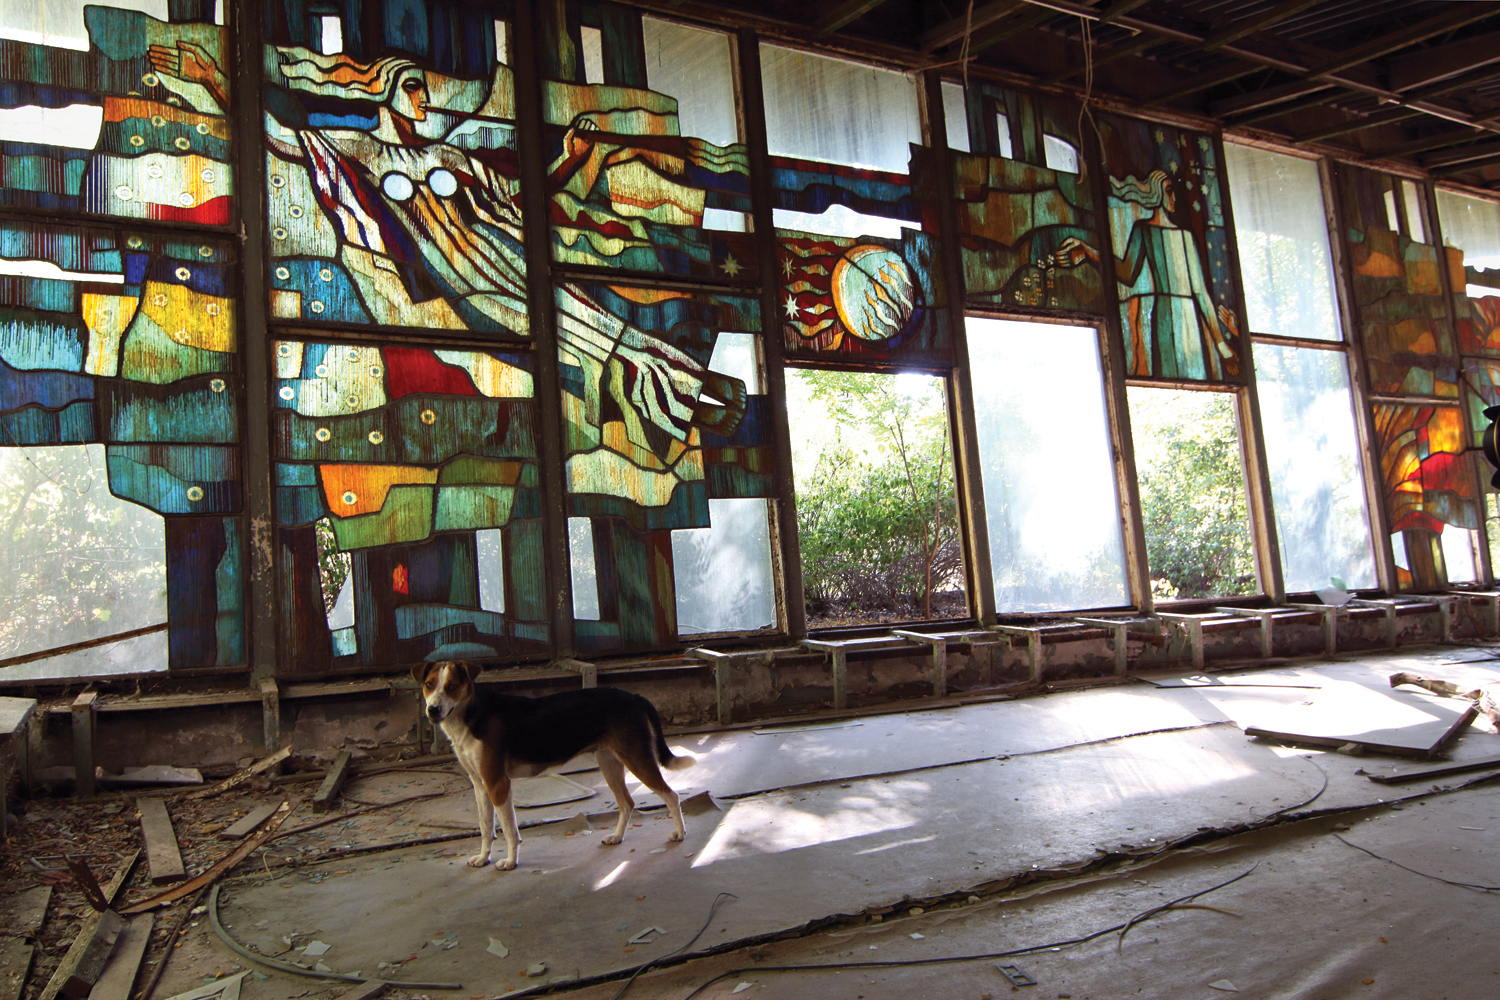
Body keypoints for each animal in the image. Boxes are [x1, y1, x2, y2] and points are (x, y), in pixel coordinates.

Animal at [411, 665, 690, 869]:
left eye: (452, 687)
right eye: (429, 685)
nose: (433, 709)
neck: (471, 715)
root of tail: (633, 696)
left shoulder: (497, 783)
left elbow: (509, 830)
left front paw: (510, 862)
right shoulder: (480, 785)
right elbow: (485, 827)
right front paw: (483, 858)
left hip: (637, 759)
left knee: (671, 796)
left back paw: (679, 833)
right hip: (609, 763)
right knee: (627, 803)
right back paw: (617, 837)